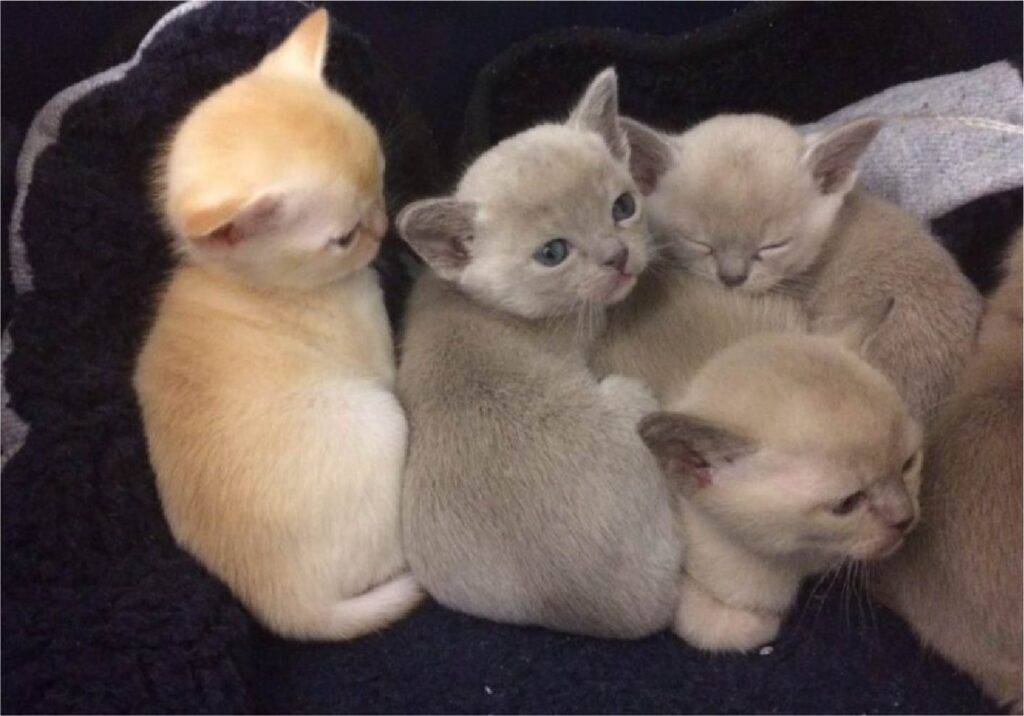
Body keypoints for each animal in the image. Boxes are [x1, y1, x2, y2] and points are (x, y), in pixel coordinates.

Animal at [135, 9, 419, 639]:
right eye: (344, 238)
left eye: (383, 179)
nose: (383, 226)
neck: (257, 286)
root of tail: (287, 606)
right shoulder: (379, 357)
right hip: (384, 421)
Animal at [638, 307, 921, 651]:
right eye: (847, 504)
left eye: (908, 464)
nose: (905, 519)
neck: (803, 558)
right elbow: (728, 625)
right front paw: (768, 621)